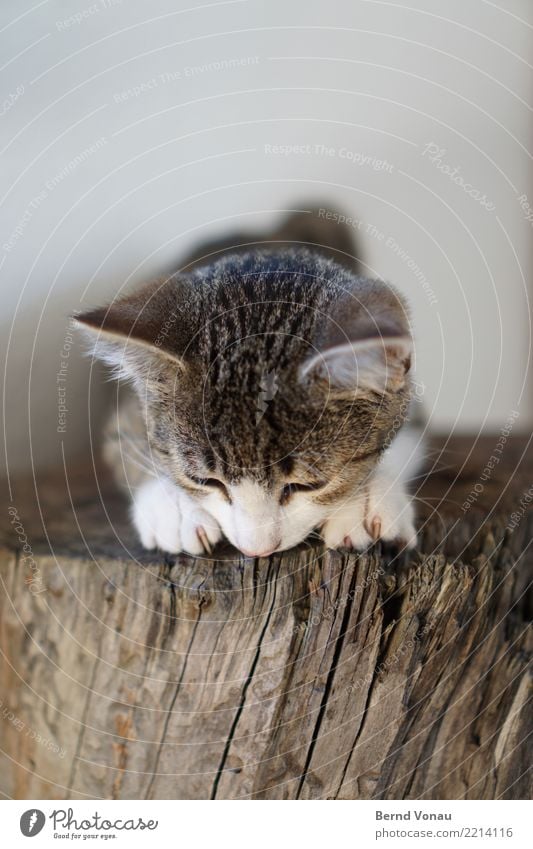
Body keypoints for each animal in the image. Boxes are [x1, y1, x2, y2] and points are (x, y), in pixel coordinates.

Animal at [77, 210, 422, 560]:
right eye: (205, 481)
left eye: (307, 485)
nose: (256, 550)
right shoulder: (127, 409)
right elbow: (126, 443)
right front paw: (175, 509)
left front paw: (362, 501)